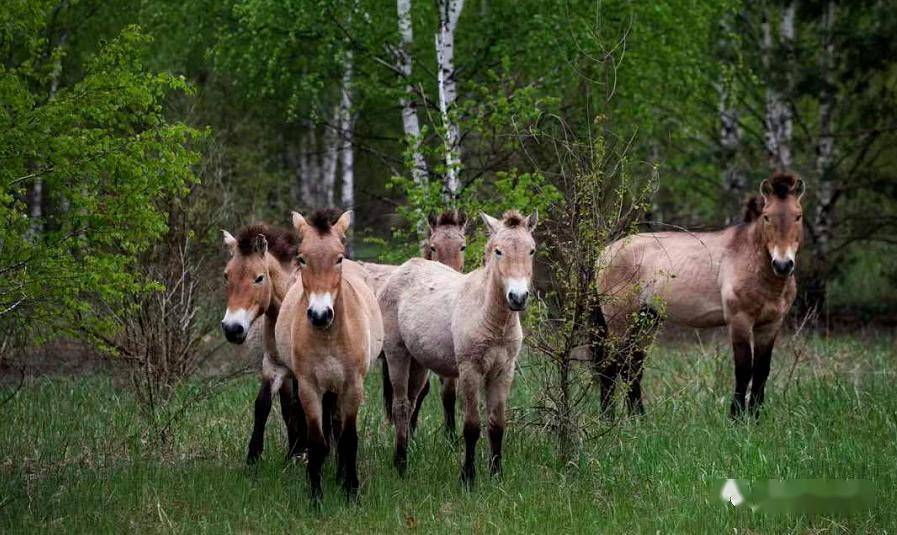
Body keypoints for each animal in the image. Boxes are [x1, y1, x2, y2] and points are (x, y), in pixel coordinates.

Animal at [221, 224, 306, 462]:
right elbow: (264, 405)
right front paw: (254, 456)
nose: (232, 329)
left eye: (259, 278)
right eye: (226, 276)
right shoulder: (273, 366)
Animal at [274, 207, 384, 500]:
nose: (320, 315)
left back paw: (341, 477)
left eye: (338, 258)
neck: (329, 338)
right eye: (302, 258)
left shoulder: (353, 387)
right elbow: (317, 443)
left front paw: (351, 491)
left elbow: (348, 440)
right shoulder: (309, 388)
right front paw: (316, 496)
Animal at [376, 209, 532, 486]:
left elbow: (497, 425)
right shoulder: (470, 370)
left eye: (532, 250)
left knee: (412, 402)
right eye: (498, 251)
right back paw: (401, 465)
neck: (489, 315)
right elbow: (471, 426)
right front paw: (468, 477)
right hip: (397, 355)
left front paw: (496, 475)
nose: (518, 297)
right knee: (401, 406)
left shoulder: (503, 371)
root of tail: (402, 269)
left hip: (419, 364)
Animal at [596, 172, 804, 418]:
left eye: (798, 216)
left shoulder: (770, 325)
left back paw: (639, 418)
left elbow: (761, 371)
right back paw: (607, 420)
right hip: (620, 322)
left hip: (646, 320)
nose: (783, 265)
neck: (750, 259)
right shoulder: (739, 321)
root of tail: (603, 253)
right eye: (766, 217)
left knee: (633, 367)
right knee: (610, 367)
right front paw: (736, 417)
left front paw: (755, 417)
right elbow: (743, 369)